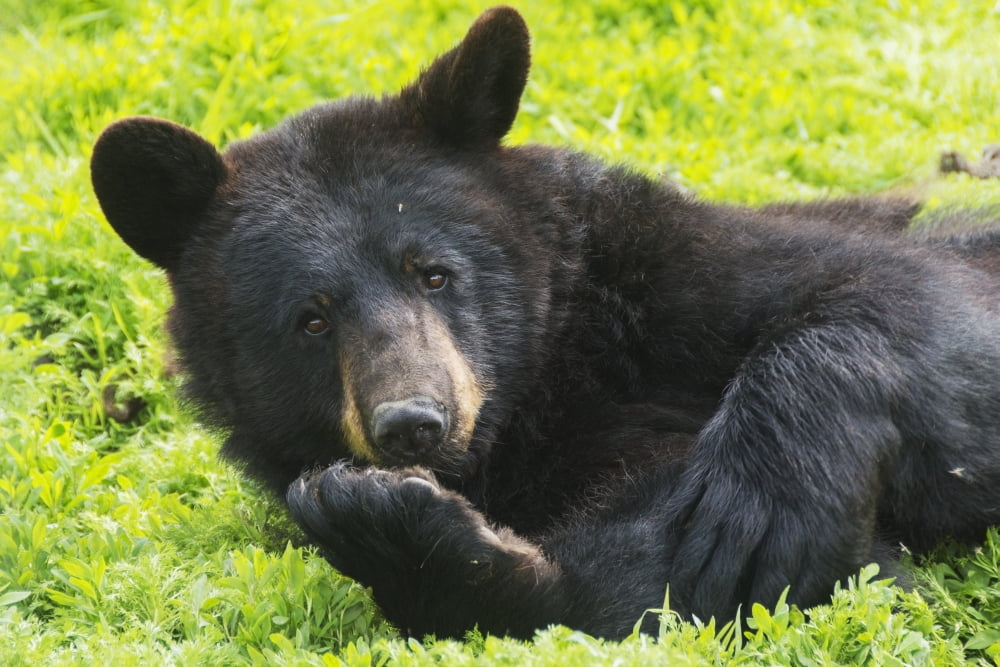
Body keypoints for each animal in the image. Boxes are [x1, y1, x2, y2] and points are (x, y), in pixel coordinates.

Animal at [90, 6, 1000, 640]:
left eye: (435, 271)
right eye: (311, 319)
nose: (414, 422)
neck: (543, 394)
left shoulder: (676, 271)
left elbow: (919, 302)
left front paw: (759, 506)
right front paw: (391, 529)